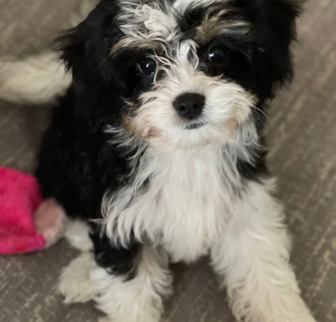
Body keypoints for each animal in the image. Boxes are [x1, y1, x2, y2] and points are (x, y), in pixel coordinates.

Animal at [1, 0, 318, 322]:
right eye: (147, 65)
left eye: (217, 55)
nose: (189, 102)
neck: (185, 152)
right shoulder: (121, 222)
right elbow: (128, 294)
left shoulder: (245, 206)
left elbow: (264, 273)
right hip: (60, 166)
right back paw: (80, 276)